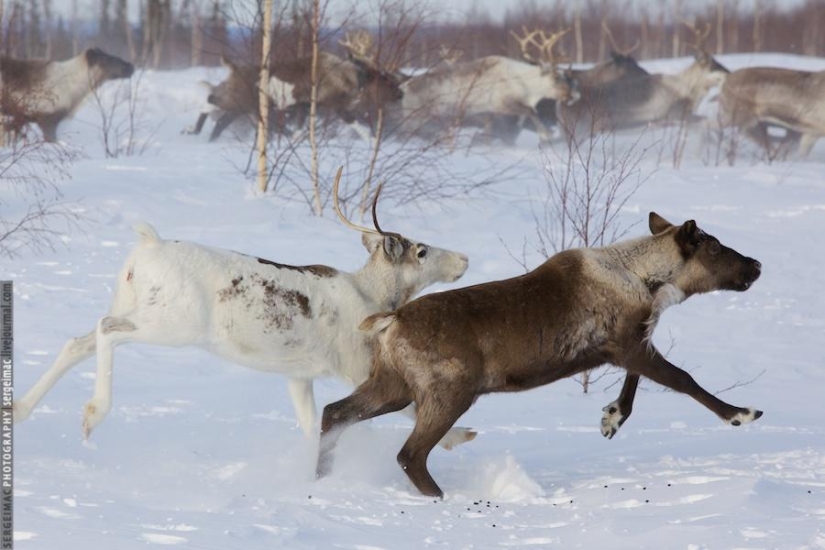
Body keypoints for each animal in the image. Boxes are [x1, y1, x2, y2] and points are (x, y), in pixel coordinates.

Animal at [13, 168, 476, 451]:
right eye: (421, 250)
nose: (464, 259)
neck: (374, 296)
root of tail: (146, 247)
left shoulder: (299, 375)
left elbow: (310, 424)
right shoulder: (357, 364)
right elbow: (409, 406)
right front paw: (461, 436)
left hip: (134, 305)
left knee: (77, 342)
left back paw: (18, 410)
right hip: (173, 324)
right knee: (106, 329)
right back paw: (93, 414)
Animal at [316, 212, 764, 498]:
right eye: (715, 248)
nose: (756, 264)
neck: (649, 282)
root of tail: (389, 320)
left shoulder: (625, 347)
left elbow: (637, 385)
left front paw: (611, 418)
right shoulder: (626, 344)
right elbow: (683, 380)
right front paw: (741, 413)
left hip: (394, 385)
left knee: (335, 412)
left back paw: (320, 478)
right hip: (449, 391)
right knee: (409, 454)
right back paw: (442, 498)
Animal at [399, 28, 579, 142]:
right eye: (556, 76)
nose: (573, 96)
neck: (527, 85)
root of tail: (406, 87)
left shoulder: (494, 111)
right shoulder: (503, 103)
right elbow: (530, 111)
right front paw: (546, 133)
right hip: (416, 116)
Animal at [557, 21, 728, 138]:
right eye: (715, 65)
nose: (730, 73)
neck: (688, 88)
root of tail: (563, 102)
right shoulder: (677, 113)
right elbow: (704, 121)